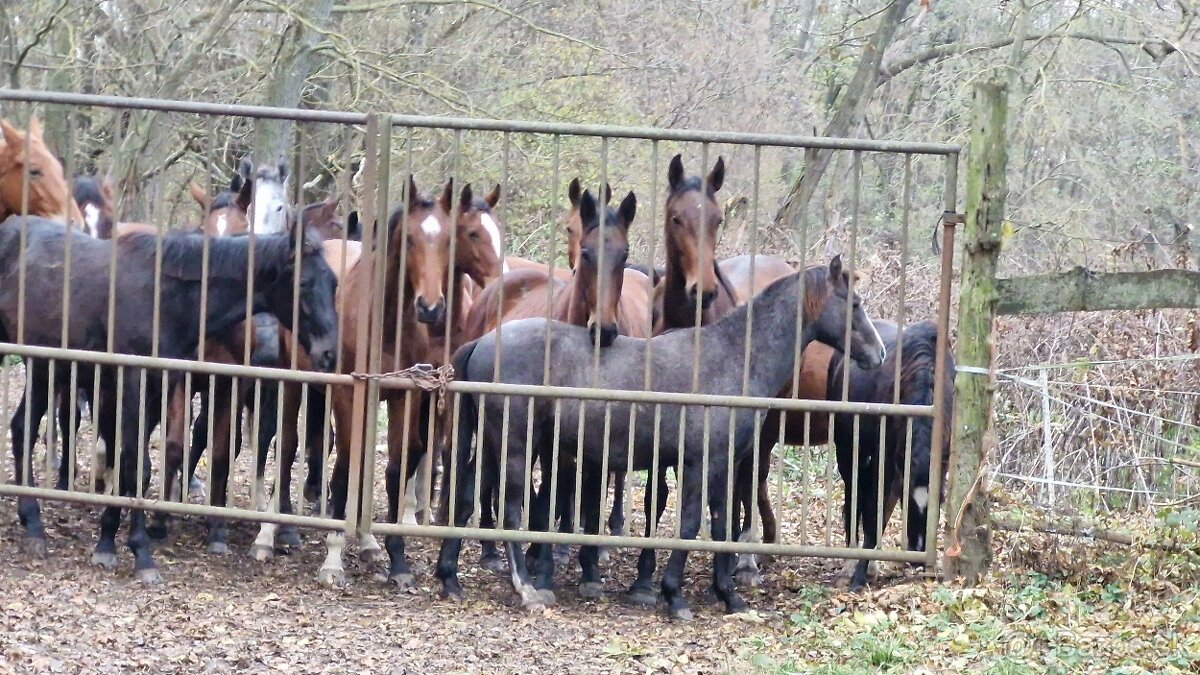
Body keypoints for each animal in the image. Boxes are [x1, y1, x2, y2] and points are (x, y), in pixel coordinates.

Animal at [1, 216, 338, 578]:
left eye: (334, 282)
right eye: (303, 282)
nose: (329, 354)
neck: (165, 299)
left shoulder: (160, 388)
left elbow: (136, 466)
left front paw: (110, 541)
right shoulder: (133, 382)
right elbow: (136, 465)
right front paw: (139, 552)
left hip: (46, 369)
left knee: (21, 429)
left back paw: (33, 524)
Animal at [436, 254, 888, 619]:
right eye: (853, 304)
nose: (879, 353)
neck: (731, 360)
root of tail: (483, 343)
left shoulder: (723, 466)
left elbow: (721, 525)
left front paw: (730, 597)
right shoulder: (700, 463)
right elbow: (689, 525)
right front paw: (675, 597)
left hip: (495, 446)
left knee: (466, 495)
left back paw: (450, 579)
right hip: (516, 448)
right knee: (511, 511)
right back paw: (528, 590)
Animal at [830, 317, 950, 586]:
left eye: (939, 502)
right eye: (908, 501)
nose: (917, 553)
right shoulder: (883, 459)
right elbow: (872, 511)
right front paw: (857, 577)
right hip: (848, 450)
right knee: (854, 497)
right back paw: (850, 563)